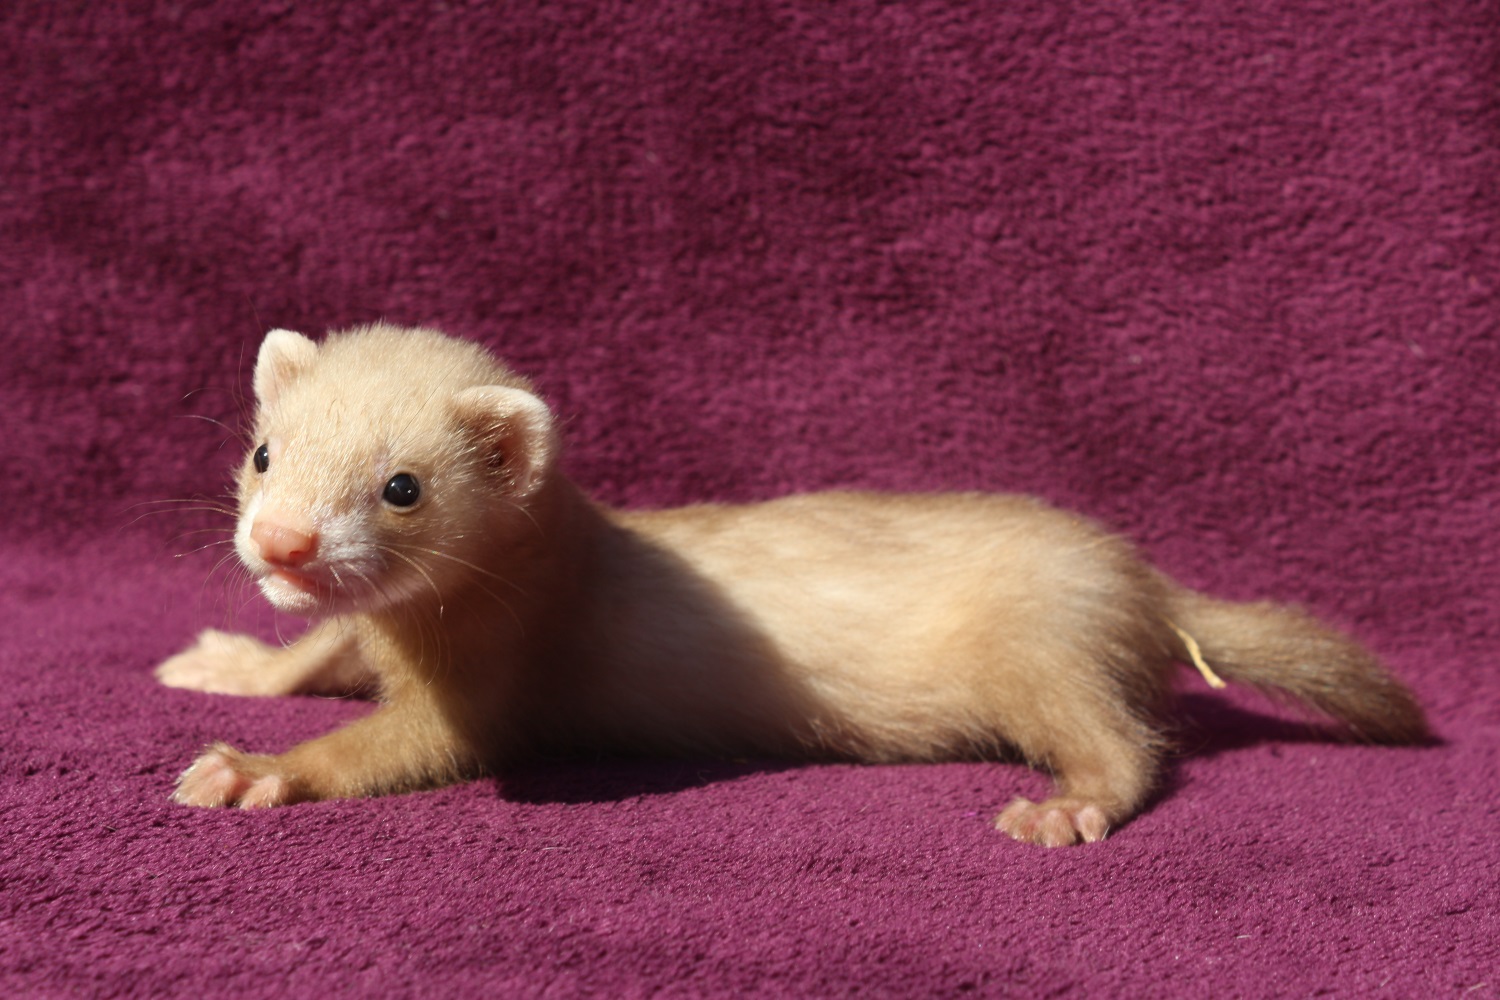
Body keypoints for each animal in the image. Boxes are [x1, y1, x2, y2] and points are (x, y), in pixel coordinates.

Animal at [155, 323, 1429, 846]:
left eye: (403, 486)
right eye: (265, 450)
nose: (282, 543)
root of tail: (1145, 579)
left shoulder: (488, 692)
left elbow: (396, 746)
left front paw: (252, 768)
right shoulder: (367, 634)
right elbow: (319, 653)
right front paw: (233, 663)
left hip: (1041, 659)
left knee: (1127, 748)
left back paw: (1068, 806)